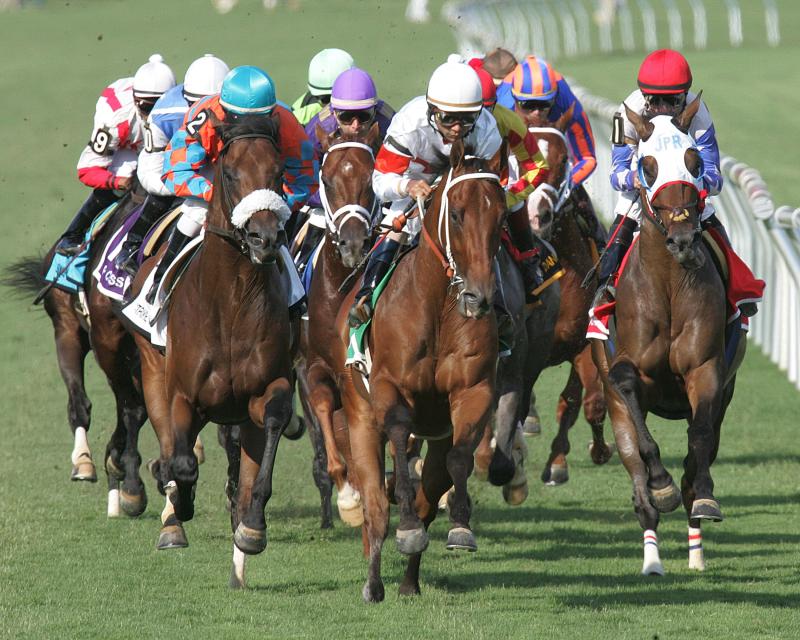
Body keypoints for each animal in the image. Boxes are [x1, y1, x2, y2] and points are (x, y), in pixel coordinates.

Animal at [134, 112, 296, 588]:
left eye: (278, 172)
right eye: (230, 172)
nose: (264, 238)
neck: (233, 302)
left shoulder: (269, 388)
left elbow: (267, 441)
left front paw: (252, 528)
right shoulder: (183, 396)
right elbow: (184, 463)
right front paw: (179, 503)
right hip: (152, 372)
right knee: (171, 445)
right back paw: (171, 515)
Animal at [342, 140, 510, 600]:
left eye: (502, 216)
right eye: (456, 214)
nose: (479, 297)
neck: (437, 307)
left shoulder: (474, 391)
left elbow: (458, 459)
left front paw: (461, 527)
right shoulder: (388, 389)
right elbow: (400, 438)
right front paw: (407, 528)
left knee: (429, 492)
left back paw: (408, 582)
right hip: (360, 417)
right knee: (376, 506)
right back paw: (375, 582)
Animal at [592, 99, 748, 576]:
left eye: (694, 161)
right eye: (647, 165)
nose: (681, 240)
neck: (668, 286)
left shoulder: (708, 371)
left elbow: (699, 441)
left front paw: (703, 497)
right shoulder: (624, 370)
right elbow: (629, 386)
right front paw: (662, 485)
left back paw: (695, 547)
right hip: (615, 409)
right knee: (637, 480)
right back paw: (652, 559)